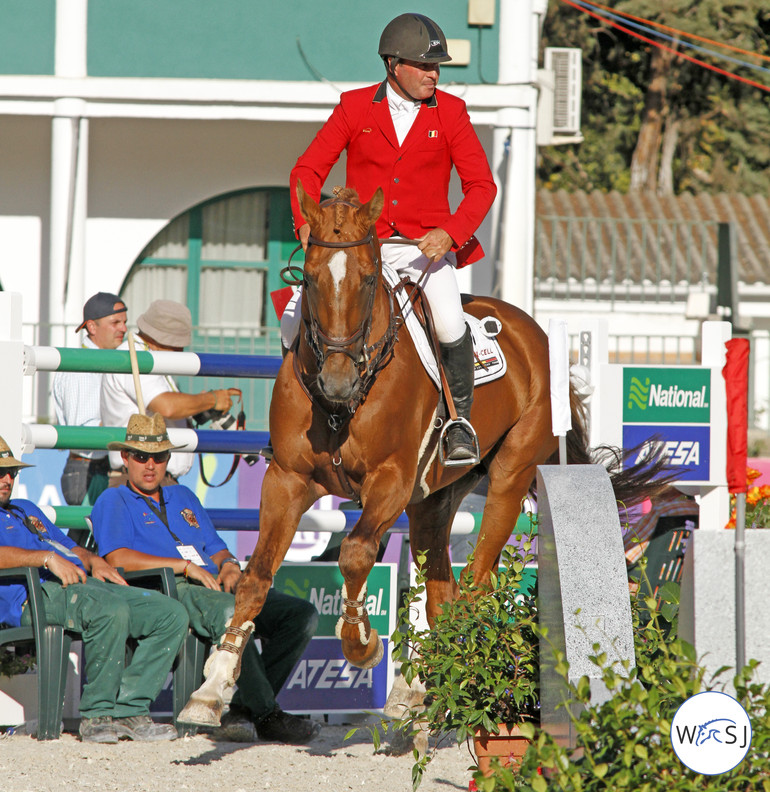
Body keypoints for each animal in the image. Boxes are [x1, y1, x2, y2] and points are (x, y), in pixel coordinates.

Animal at [177, 184, 664, 724]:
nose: (336, 383)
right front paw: (212, 688)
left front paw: (361, 643)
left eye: (368, 280)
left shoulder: (390, 480)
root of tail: (533, 332)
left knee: (474, 584)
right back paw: (418, 689)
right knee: (442, 592)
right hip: (433, 500)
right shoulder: (287, 479)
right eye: (309, 277)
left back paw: (445, 682)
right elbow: (256, 576)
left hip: (509, 476)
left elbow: (355, 554)